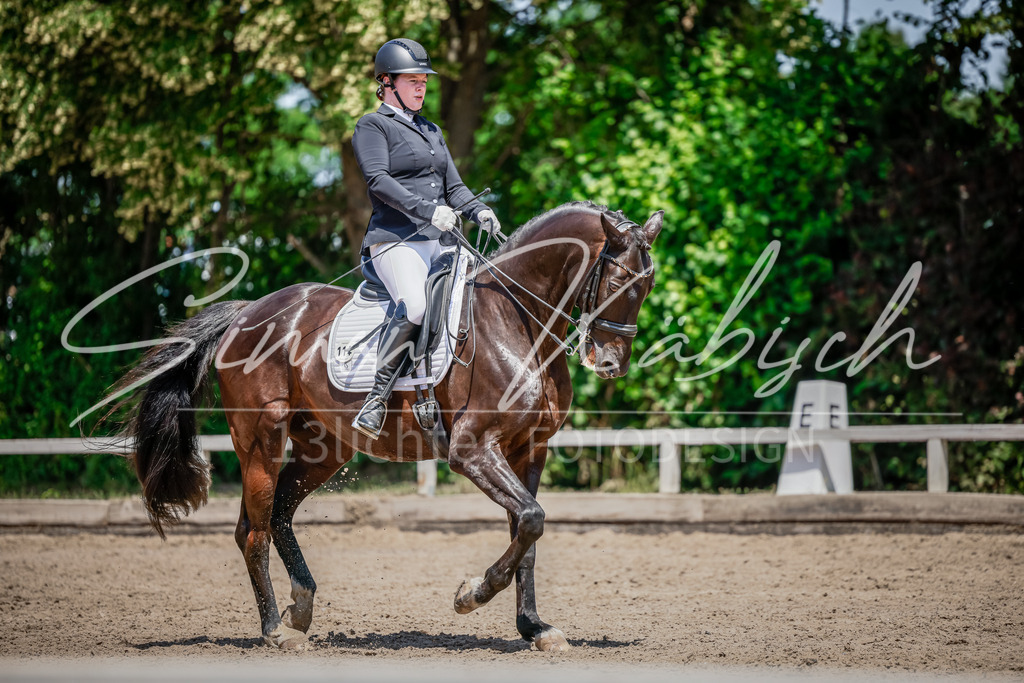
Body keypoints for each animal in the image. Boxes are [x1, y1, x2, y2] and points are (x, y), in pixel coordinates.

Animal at [106, 201, 664, 651]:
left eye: (649, 285)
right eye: (619, 282)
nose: (610, 364)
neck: (518, 321)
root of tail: (249, 312)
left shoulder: (531, 448)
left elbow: (528, 533)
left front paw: (535, 629)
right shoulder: (471, 450)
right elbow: (530, 519)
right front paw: (470, 595)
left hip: (324, 448)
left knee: (279, 515)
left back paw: (300, 608)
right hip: (260, 440)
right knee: (253, 530)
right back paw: (275, 631)